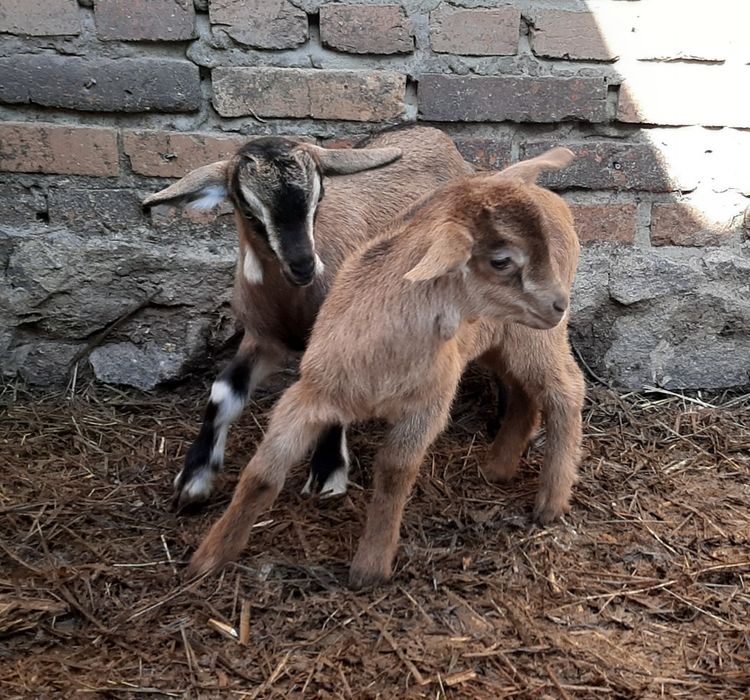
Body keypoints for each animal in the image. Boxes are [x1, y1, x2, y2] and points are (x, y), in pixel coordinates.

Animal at [143, 127, 473, 508]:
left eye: (319, 198)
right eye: (249, 211)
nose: (303, 265)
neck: (291, 305)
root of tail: (432, 133)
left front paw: (328, 473)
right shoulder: (262, 337)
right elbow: (222, 392)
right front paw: (194, 478)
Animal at [186, 148, 586, 589]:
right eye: (501, 260)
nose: (558, 304)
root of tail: (531, 182)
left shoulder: (427, 407)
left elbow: (394, 471)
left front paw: (370, 566)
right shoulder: (309, 395)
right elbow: (261, 474)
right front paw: (210, 556)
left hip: (535, 338)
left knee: (566, 391)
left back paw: (551, 502)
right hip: (501, 339)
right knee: (524, 393)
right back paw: (497, 468)